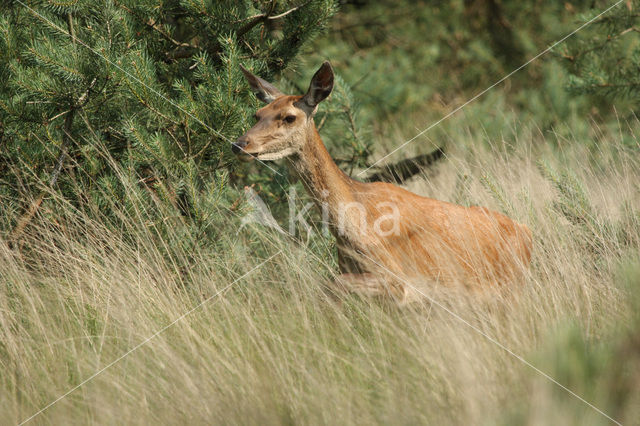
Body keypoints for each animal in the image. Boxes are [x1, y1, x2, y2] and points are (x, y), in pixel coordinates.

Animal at [232, 60, 532, 302]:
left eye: (289, 117)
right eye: (257, 114)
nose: (239, 144)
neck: (354, 226)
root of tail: (528, 234)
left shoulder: (401, 279)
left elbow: (332, 283)